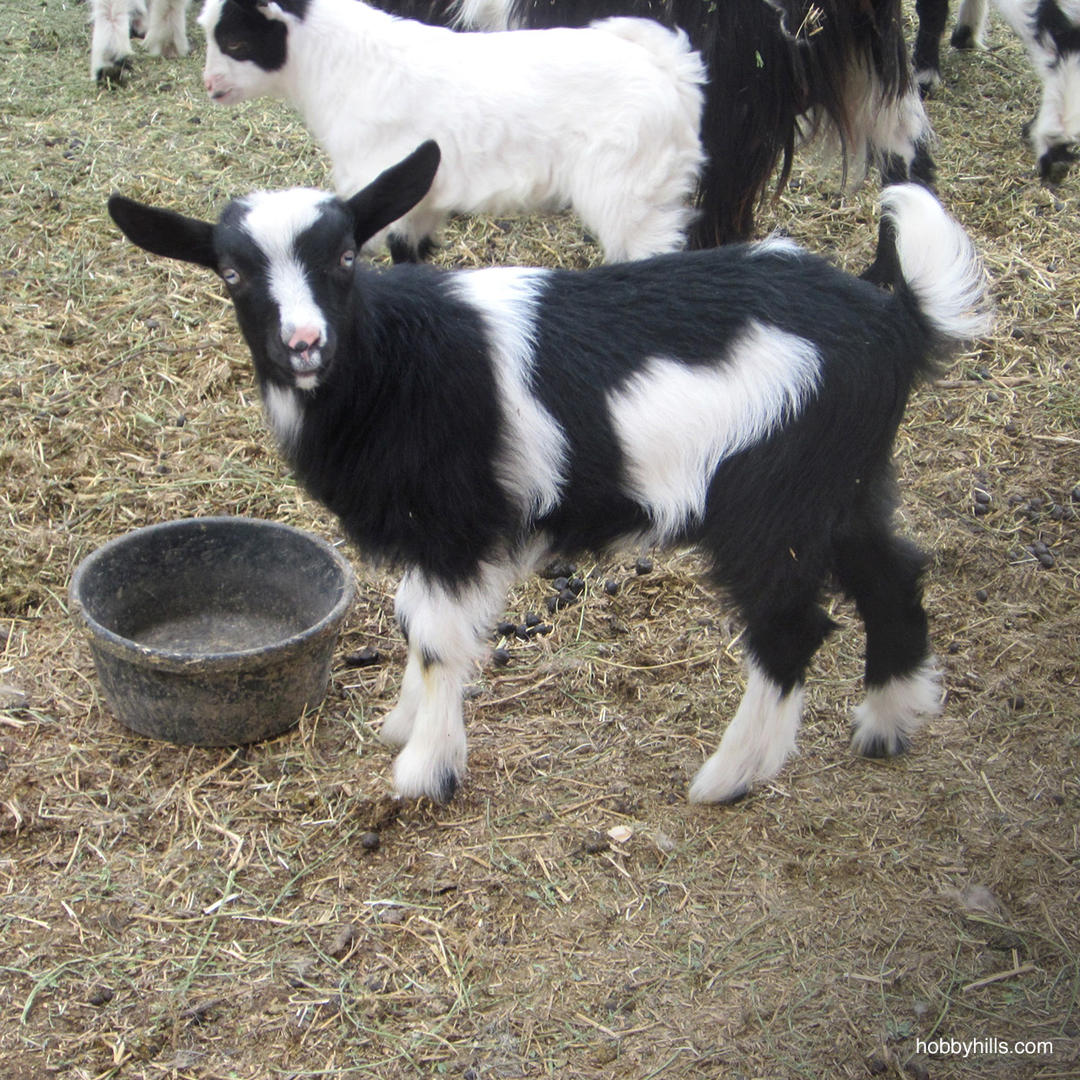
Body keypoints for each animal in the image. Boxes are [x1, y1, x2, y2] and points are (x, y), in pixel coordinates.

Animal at [108, 141, 991, 805]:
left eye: (346, 256)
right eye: (232, 274)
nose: (303, 344)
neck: (392, 363)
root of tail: (896, 321)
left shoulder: (455, 525)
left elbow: (437, 639)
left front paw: (424, 770)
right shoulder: (432, 536)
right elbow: (411, 621)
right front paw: (404, 726)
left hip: (772, 501)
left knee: (791, 627)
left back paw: (728, 778)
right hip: (844, 483)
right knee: (892, 574)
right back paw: (890, 721)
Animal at [197, 0, 706, 263]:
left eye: (235, 41)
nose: (209, 85)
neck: (343, 65)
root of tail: (673, 72)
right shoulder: (420, 200)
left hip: (629, 193)